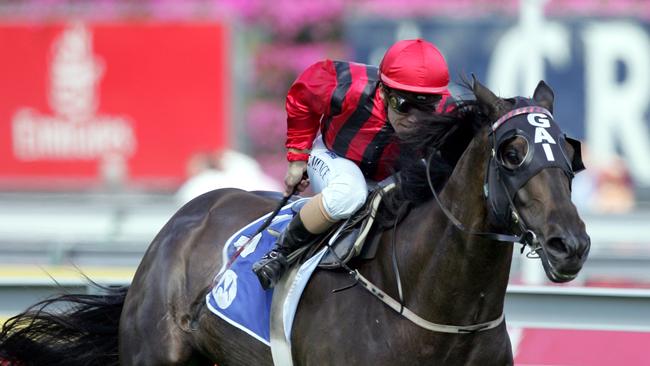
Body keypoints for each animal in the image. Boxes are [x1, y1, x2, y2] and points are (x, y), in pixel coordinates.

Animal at [0, 78, 588, 364]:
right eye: (512, 152)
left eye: (567, 151)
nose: (571, 245)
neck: (436, 309)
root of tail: (182, 219)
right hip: (153, 354)